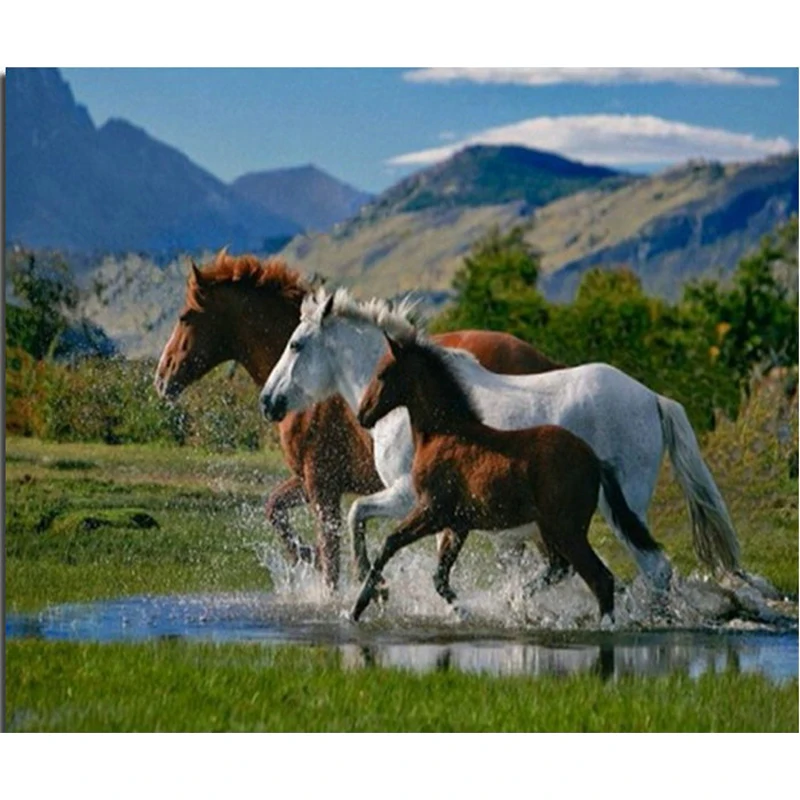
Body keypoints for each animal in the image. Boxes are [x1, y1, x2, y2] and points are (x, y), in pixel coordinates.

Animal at [154, 250, 563, 588]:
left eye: (185, 316)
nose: (162, 378)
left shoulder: (322, 484)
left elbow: (330, 557)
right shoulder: (311, 480)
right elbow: (276, 510)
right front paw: (305, 556)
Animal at [260, 287, 740, 594]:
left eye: (296, 344)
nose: (268, 401)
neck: (415, 403)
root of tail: (652, 398)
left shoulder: (408, 494)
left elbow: (357, 513)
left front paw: (374, 586)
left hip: (623, 509)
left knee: (653, 568)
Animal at [352, 332, 661, 623]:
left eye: (382, 374)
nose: (362, 415)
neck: (445, 433)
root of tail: (595, 460)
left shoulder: (431, 510)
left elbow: (389, 544)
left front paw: (360, 605)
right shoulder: (458, 523)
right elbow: (439, 577)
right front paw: (462, 611)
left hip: (567, 529)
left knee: (600, 578)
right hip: (551, 529)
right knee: (562, 568)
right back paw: (519, 600)